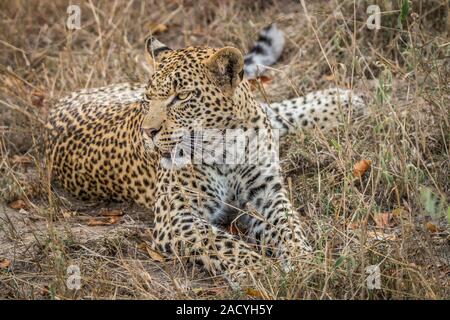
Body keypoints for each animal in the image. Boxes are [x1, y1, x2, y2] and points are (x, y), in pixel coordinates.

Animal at [44, 25, 366, 282]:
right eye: (148, 100)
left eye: (181, 97)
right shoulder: (176, 217)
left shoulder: (265, 192)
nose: (148, 132)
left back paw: (341, 102)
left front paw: (303, 260)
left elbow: (288, 226)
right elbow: (223, 244)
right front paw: (260, 272)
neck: (227, 144)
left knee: (274, 111)